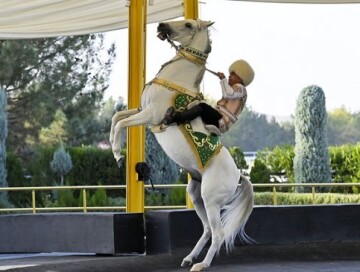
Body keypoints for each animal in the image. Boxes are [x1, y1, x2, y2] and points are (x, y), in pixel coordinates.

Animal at [109, 18, 253, 270]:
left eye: (188, 25)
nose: (161, 27)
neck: (175, 81)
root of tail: (238, 177)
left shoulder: (150, 115)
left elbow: (121, 123)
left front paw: (118, 156)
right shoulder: (141, 109)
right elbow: (117, 117)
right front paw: (110, 145)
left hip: (211, 200)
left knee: (218, 233)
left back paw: (201, 264)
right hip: (196, 194)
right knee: (207, 230)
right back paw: (189, 258)